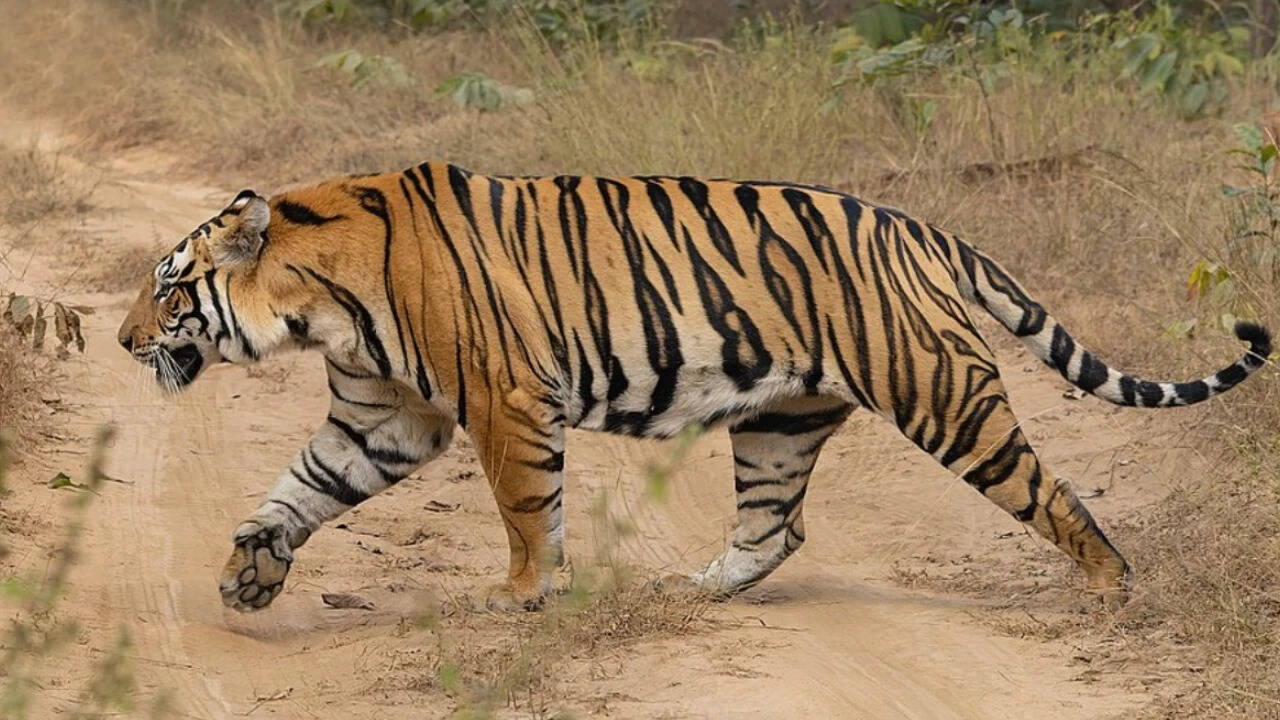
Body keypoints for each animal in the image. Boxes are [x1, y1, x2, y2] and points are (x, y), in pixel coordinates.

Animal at [117, 162, 1271, 613]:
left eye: (168, 286)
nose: (124, 341)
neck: (317, 299)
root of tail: (922, 228)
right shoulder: (381, 415)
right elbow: (299, 489)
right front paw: (249, 572)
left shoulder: (504, 402)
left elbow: (524, 508)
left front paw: (522, 596)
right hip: (780, 421)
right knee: (776, 526)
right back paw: (697, 588)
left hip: (944, 394)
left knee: (1051, 492)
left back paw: (1109, 588)